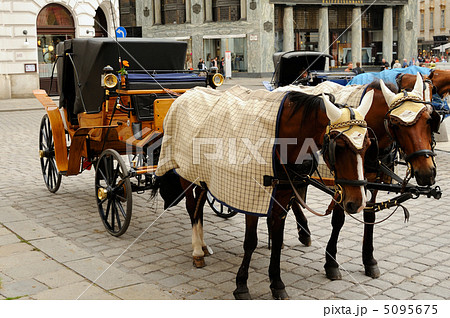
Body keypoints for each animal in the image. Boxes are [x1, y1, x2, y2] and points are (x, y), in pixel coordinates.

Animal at [153, 90, 374, 300]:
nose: (358, 202)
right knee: (192, 207)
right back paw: (197, 250)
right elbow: (250, 242)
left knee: (199, 202)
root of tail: (183, 97)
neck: (281, 142)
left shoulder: (282, 199)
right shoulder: (251, 198)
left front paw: (276, 283)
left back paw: (203, 245)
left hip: (202, 177)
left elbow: (277, 240)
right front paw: (241, 285)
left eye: (369, 145)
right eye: (340, 146)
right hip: (185, 173)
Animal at [288, 72, 440, 280]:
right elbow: (338, 219)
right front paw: (331, 262)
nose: (426, 172)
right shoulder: (343, 181)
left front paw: (369, 259)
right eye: (395, 124)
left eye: (428, 119)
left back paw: (303, 230)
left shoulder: (371, 181)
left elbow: (370, 216)